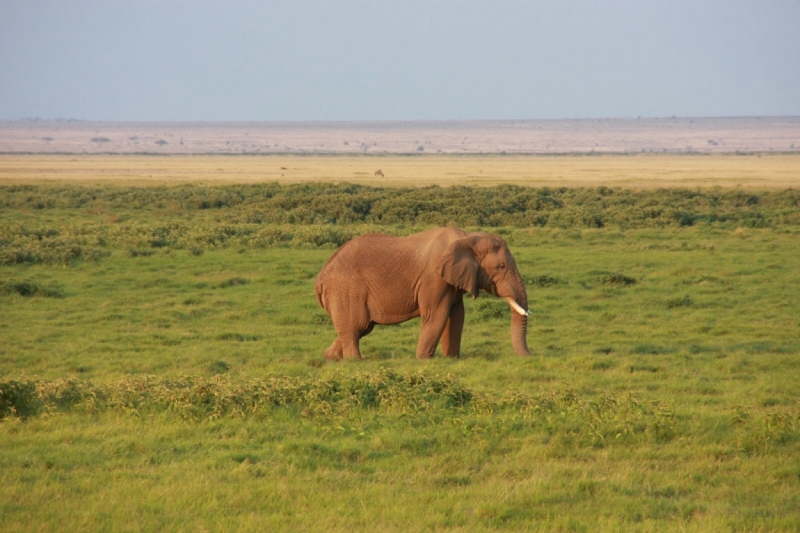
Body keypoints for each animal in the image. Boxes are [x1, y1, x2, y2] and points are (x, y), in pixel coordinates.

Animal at [314, 227, 532, 360]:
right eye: (501, 267)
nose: (530, 355)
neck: (467, 236)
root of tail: (320, 278)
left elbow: (457, 316)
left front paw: (452, 359)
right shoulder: (434, 279)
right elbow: (437, 315)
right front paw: (424, 360)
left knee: (360, 327)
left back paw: (329, 358)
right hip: (345, 291)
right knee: (355, 327)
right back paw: (355, 362)